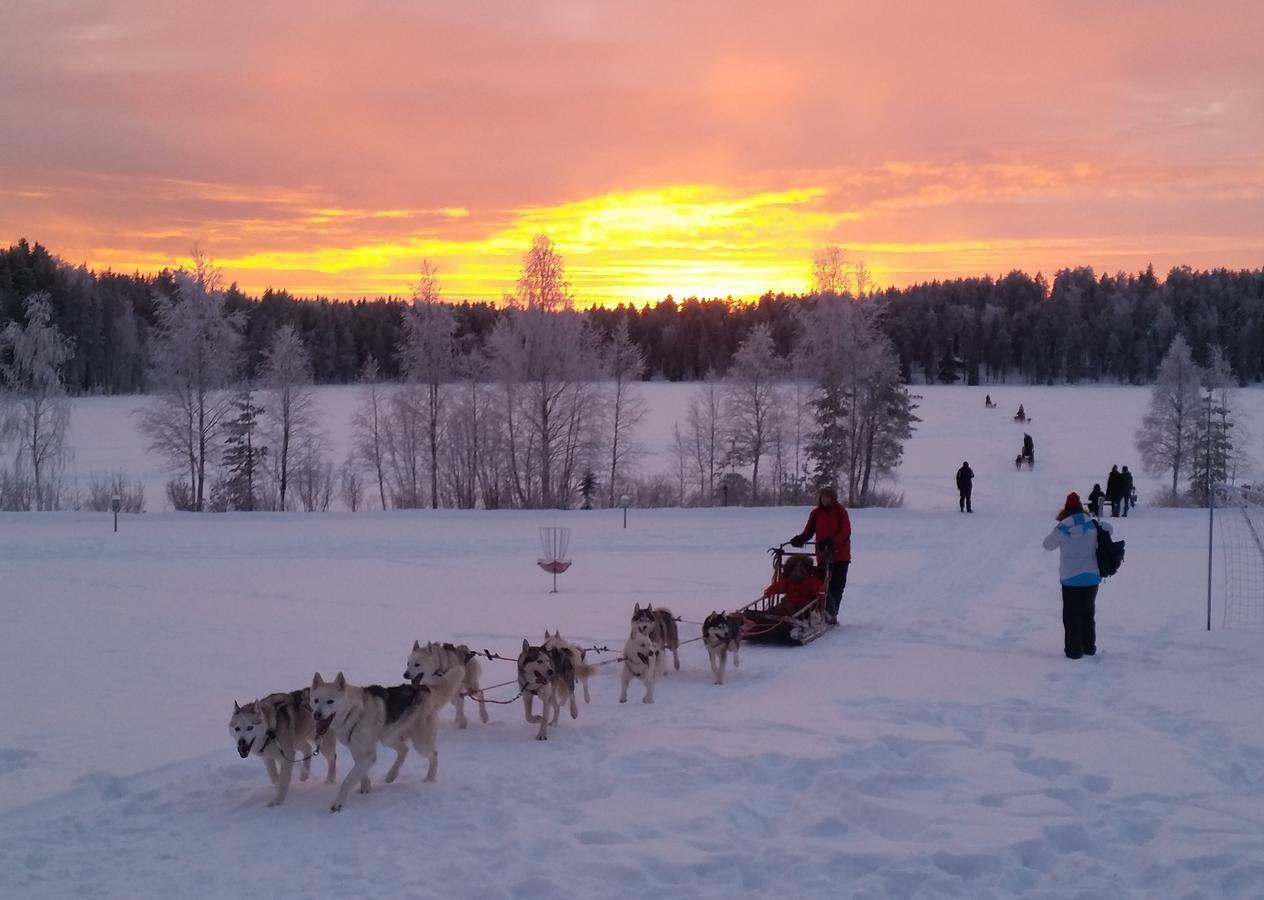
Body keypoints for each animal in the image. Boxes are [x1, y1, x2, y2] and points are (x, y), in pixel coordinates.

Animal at [309, 672, 439, 814]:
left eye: (330, 701)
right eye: (316, 700)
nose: (316, 714)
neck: (354, 712)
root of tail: (422, 688)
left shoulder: (367, 753)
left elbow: (348, 780)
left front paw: (339, 803)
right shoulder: (356, 748)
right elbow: (360, 771)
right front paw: (365, 787)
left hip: (420, 743)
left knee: (434, 755)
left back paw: (430, 779)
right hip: (388, 738)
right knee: (404, 749)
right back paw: (392, 775)